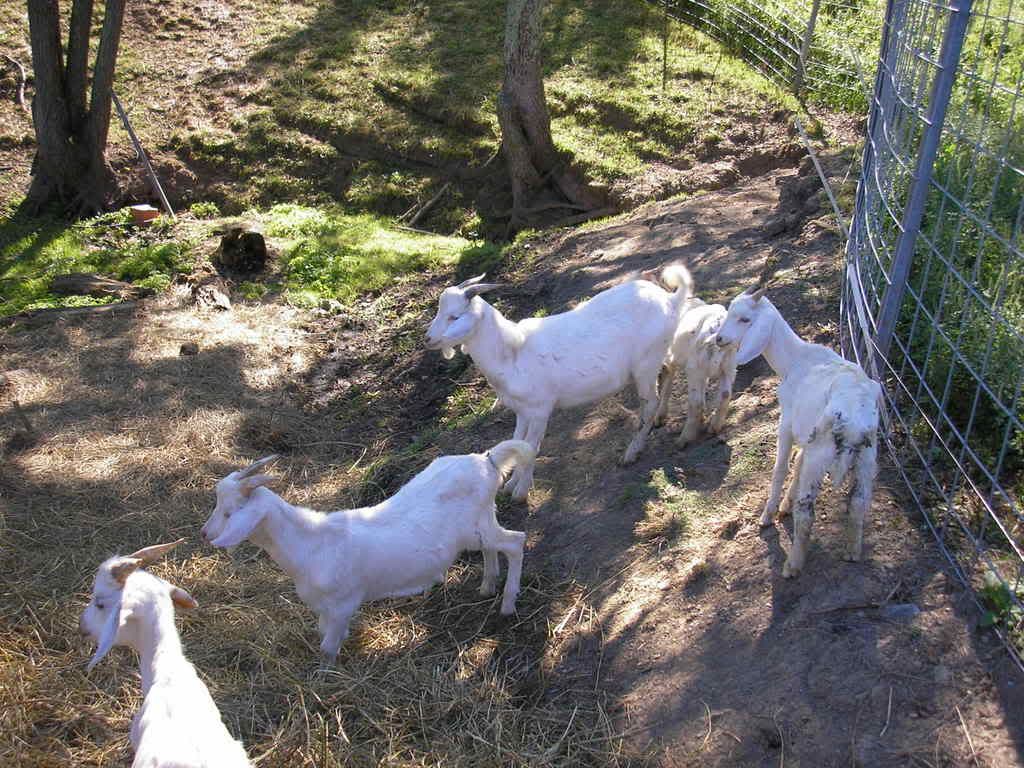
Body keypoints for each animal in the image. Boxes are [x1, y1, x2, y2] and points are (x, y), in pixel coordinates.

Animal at [201, 442, 533, 662]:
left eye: (229, 512)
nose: (205, 533)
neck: (310, 543)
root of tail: (487, 460)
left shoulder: (342, 605)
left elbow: (327, 649)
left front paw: (325, 676)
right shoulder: (324, 609)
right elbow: (324, 635)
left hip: (477, 528)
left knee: (516, 542)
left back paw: (507, 603)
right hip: (480, 525)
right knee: (492, 548)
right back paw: (488, 585)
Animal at [424, 266, 693, 499]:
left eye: (454, 317)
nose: (428, 339)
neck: (512, 353)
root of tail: (671, 299)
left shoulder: (540, 409)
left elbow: (531, 447)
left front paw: (520, 492)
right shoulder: (521, 411)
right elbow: (518, 441)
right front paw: (511, 484)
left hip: (645, 364)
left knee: (649, 401)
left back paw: (632, 452)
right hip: (657, 356)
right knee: (668, 371)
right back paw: (661, 418)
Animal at [656, 297, 739, 446]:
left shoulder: (671, 361)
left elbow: (667, 387)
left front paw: (660, 416)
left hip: (694, 368)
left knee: (696, 402)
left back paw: (684, 439)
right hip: (728, 366)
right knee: (725, 394)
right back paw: (714, 427)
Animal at [716, 287, 881, 577]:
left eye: (745, 319)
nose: (719, 339)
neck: (794, 360)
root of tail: (853, 418)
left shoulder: (787, 424)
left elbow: (781, 468)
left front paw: (768, 515)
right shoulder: (807, 434)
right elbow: (798, 463)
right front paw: (784, 506)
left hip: (822, 456)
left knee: (807, 513)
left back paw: (792, 564)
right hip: (866, 458)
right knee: (859, 502)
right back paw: (852, 551)